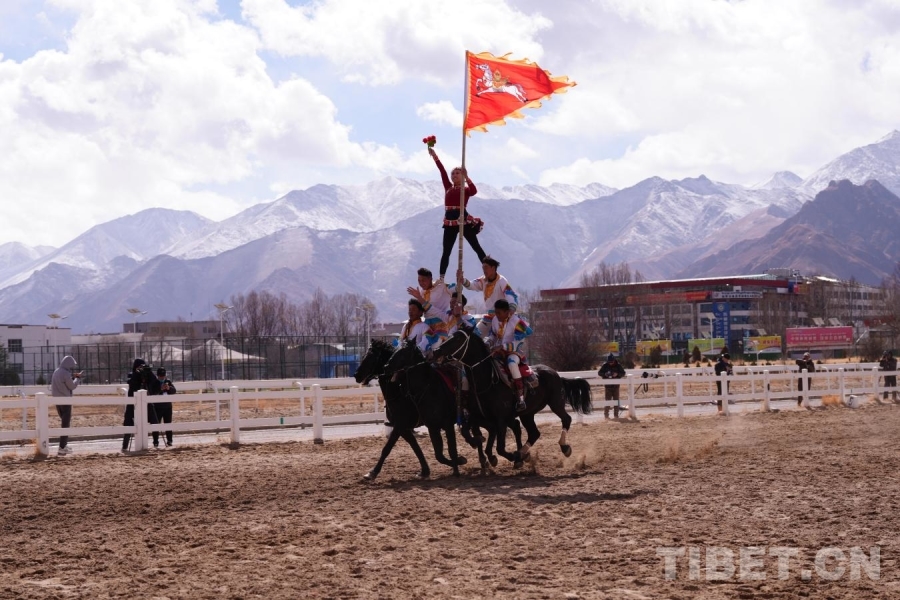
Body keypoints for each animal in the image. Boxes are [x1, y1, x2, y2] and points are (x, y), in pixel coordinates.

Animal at [432, 328, 593, 464]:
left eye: (458, 338)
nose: (436, 351)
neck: (487, 381)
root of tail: (556, 374)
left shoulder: (500, 419)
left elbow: (500, 448)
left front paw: (510, 456)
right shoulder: (477, 415)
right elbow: (466, 430)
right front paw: (477, 442)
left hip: (556, 403)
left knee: (566, 419)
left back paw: (563, 447)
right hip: (527, 414)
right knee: (534, 433)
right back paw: (522, 453)